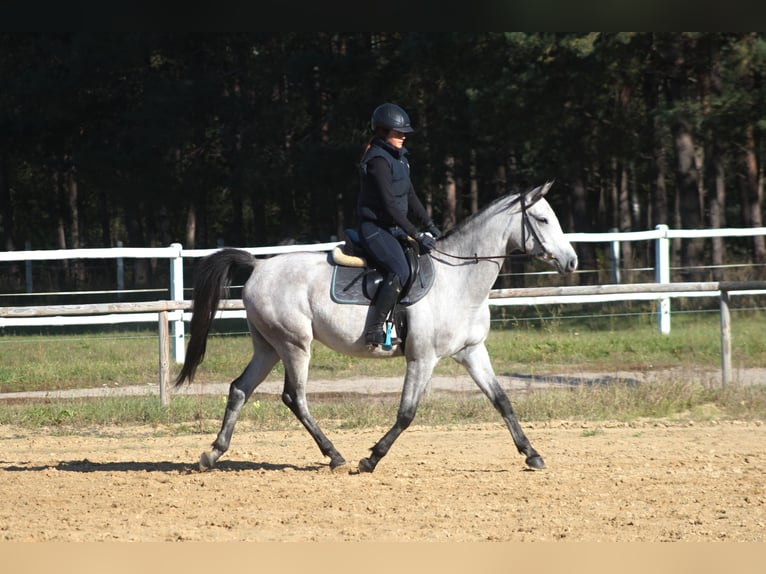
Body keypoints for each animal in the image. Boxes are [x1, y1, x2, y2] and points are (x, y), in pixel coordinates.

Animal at [177, 182, 580, 474]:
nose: (572, 261)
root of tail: (259, 266)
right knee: (294, 397)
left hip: (269, 347)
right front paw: (370, 459)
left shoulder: (471, 352)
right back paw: (335, 455)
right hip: (294, 345)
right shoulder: (422, 359)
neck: (458, 280)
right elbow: (406, 413)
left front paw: (532, 454)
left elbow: (502, 401)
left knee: (239, 389)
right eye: (543, 220)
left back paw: (213, 454)